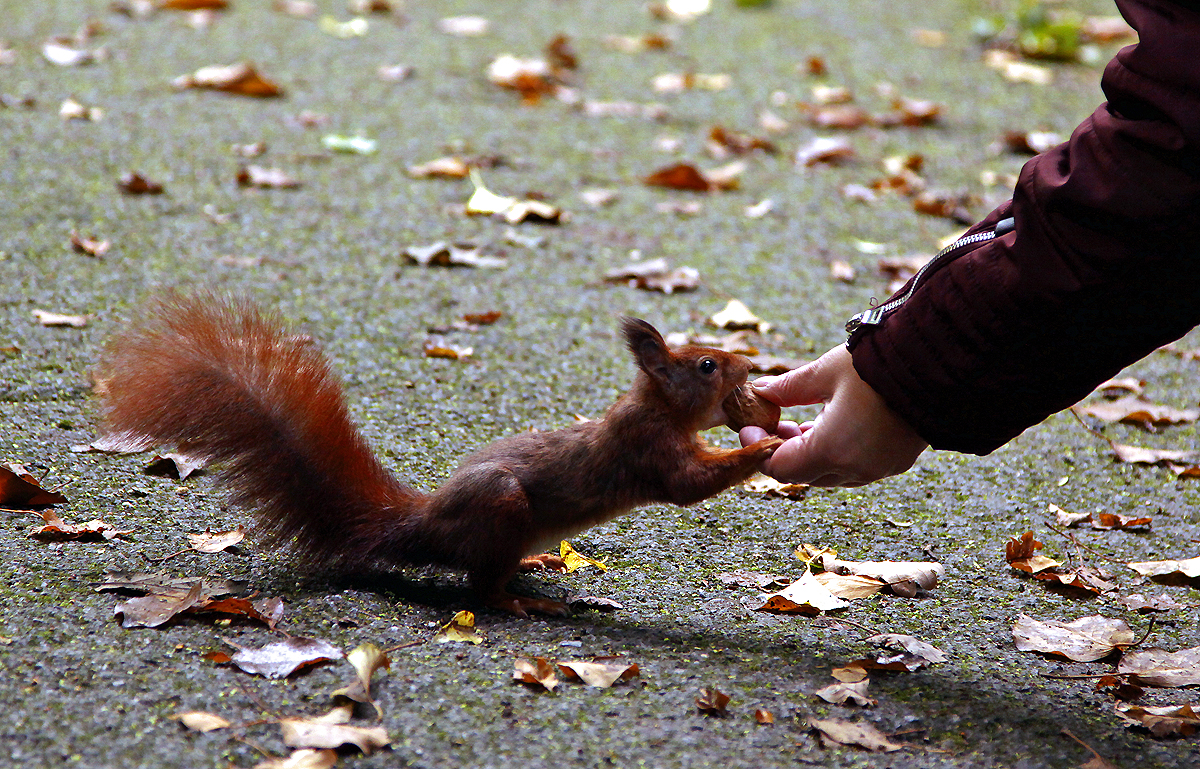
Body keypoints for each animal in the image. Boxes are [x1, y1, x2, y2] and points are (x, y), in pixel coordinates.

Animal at [96, 290, 787, 614]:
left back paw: (535, 564)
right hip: (501, 508)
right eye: (707, 365)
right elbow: (689, 485)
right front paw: (770, 448)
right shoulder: (649, 451)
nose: (750, 366)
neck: (657, 408)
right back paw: (521, 598)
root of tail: (426, 523)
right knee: (480, 589)